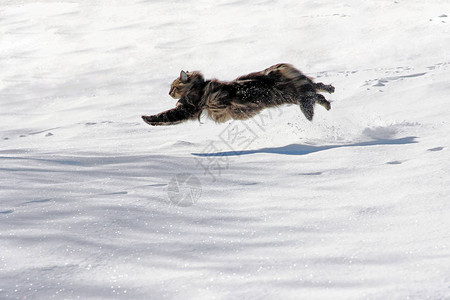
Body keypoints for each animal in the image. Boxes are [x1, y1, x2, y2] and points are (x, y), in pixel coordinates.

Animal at [142, 63, 334, 125]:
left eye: (173, 87)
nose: (168, 93)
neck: (199, 86)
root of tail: (278, 68)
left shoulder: (188, 108)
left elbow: (164, 116)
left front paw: (146, 118)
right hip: (296, 90)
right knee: (316, 86)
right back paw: (329, 92)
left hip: (289, 95)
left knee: (314, 94)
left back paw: (327, 103)